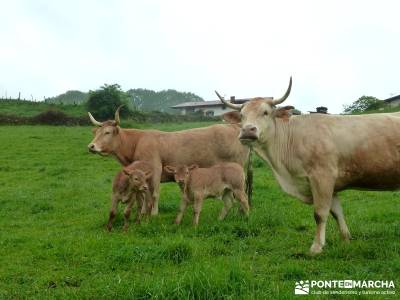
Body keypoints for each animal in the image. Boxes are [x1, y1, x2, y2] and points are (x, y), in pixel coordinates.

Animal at [87, 108, 252, 216]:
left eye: (107, 132)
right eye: (96, 132)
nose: (91, 146)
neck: (137, 142)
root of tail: (234, 126)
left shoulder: (155, 169)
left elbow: (154, 194)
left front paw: (153, 214)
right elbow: (143, 195)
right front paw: (142, 212)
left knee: (241, 194)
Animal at [217, 76, 400, 254]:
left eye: (266, 112)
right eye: (242, 115)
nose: (248, 130)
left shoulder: (322, 177)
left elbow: (320, 213)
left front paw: (316, 247)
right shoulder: (330, 184)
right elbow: (337, 212)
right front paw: (346, 240)